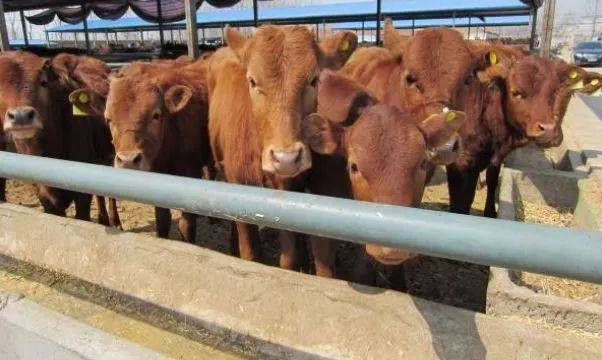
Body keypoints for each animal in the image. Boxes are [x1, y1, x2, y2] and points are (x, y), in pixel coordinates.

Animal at [104, 58, 212, 242]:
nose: (128, 160)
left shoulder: (191, 174)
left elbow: (186, 225)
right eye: (108, 119)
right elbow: (162, 219)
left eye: (156, 115)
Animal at [206, 25, 356, 272]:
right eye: (252, 81)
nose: (286, 158)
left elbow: (289, 257)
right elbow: (251, 254)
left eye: (314, 80)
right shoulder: (239, 185)